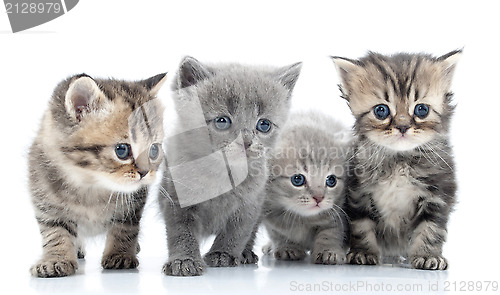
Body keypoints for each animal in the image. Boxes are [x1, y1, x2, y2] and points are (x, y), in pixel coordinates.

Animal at [28, 72, 166, 278]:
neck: (91, 184)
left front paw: (120, 254)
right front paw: (55, 259)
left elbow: (125, 228)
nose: (144, 172)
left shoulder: (133, 204)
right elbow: (55, 232)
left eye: (154, 150)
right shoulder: (45, 200)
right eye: (122, 150)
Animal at [160, 56, 300, 278]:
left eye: (264, 125)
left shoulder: (251, 202)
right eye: (222, 121)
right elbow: (180, 231)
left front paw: (223, 253)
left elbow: (238, 230)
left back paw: (245, 253)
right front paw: (183, 260)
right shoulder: (176, 198)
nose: (246, 141)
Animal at [264, 111, 350, 266]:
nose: (319, 198)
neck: (302, 218)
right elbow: (278, 234)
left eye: (331, 180)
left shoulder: (337, 211)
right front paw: (288, 247)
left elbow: (330, 232)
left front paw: (329, 251)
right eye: (297, 179)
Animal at [332, 50, 460, 270]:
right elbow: (362, 226)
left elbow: (431, 228)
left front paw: (427, 255)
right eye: (381, 111)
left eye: (421, 110)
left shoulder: (438, 195)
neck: (399, 161)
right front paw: (363, 253)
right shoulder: (358, 194)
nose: (402, 127)